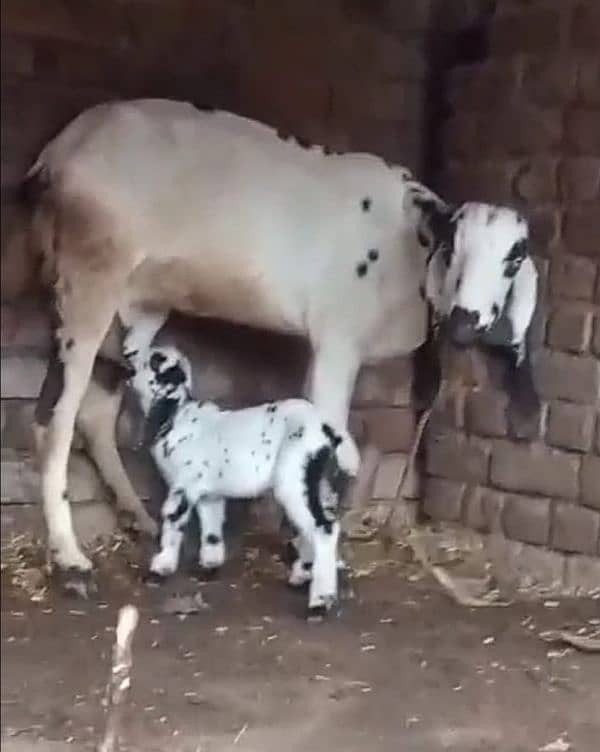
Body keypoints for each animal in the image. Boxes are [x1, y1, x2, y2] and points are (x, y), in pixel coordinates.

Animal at [123, 326, 354, 612]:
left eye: (155, 361)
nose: (128, 357)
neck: (175, 415)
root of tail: (327, 429)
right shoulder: (209, 491)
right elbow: (211, 528)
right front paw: (209, 566)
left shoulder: (184, 485)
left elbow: (173, 520)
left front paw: (160, 568)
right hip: (318, 482)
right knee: (326, 522)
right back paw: (303, 575)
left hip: (294, 478)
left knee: (323, 528)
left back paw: (320, 601)